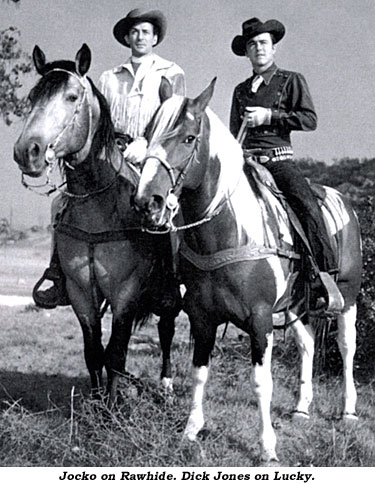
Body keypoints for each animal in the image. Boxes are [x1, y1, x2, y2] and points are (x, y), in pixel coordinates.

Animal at [13, 44, 181, 400]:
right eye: (33, 97)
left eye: (72, 97)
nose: (27, 151)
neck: (99, 207)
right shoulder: (81, 293)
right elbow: (94, 352)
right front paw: (95, 401)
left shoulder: (125, 293)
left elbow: (116, 353)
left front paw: (112, 406)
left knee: (167, 328)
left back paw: (166, 384)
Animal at [134, 79, 362, 462]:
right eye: (149, 134)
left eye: (189, 138)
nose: (146, 201)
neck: (228, 232)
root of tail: (347, 203)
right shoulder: (202, 316)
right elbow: (199, 373)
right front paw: (190, 431)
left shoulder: (259, 318)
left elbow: (261, 382)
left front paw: (267, 447)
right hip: (295, 305)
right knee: (307, 344)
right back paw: (302, 407)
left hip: (346, 298)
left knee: (346, 347)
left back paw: (348, 410)